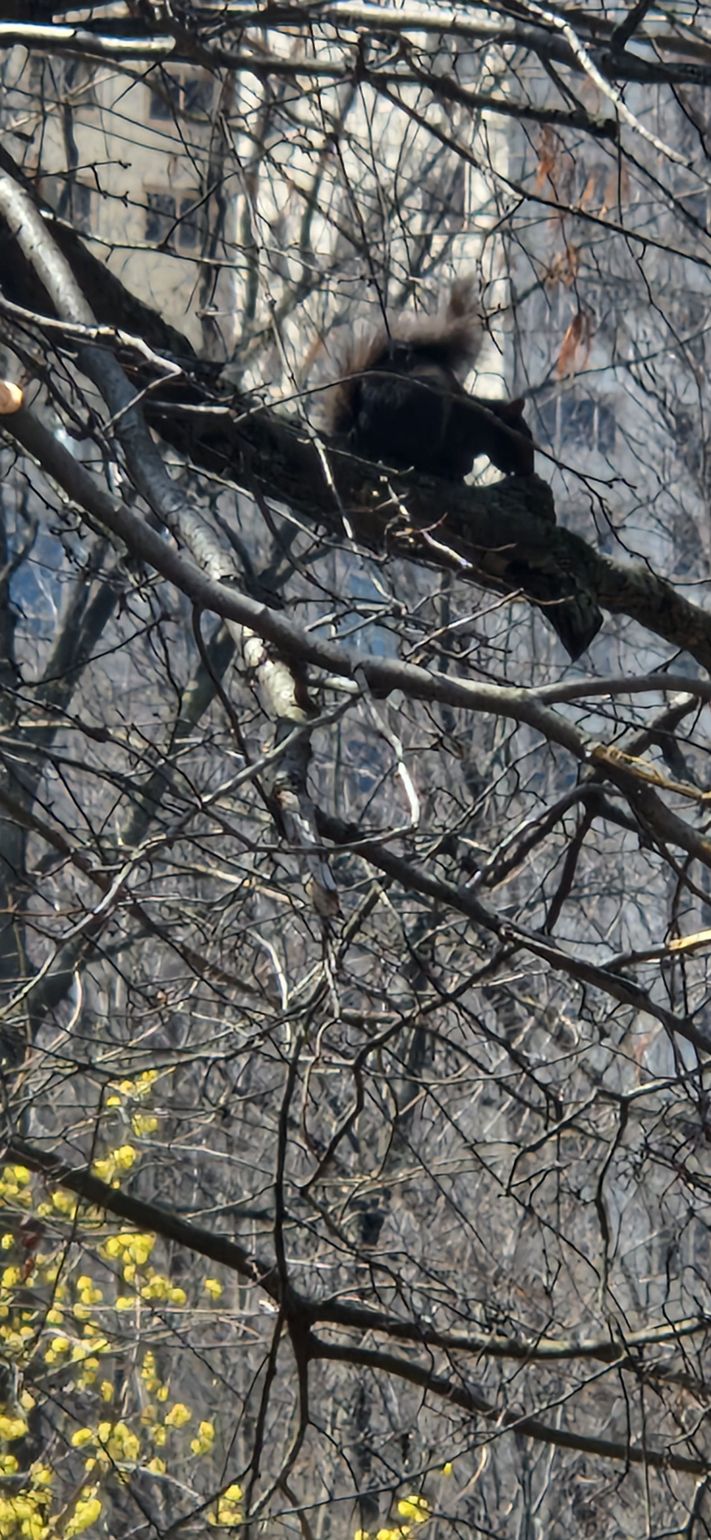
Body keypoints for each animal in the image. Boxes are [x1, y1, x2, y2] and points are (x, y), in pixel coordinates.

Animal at [324, 281, 534, 479]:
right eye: (524, 436)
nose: (530, 470)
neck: (483, 423)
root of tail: (355, 427)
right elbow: (460, 458)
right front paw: (460, 466)